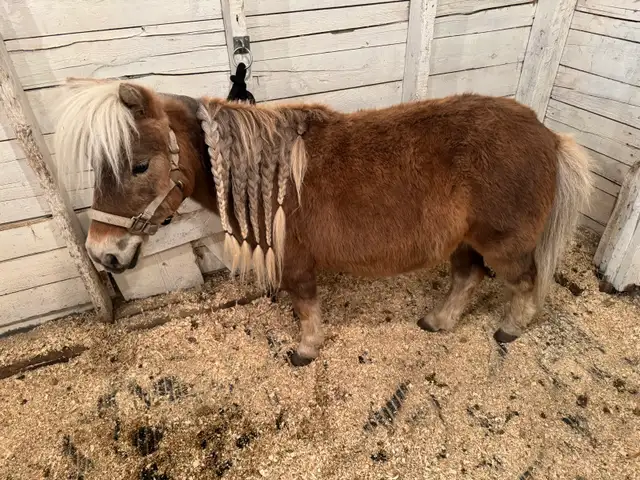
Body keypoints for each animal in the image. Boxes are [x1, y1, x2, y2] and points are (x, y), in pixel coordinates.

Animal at [54, 78, 592, 366]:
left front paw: (306, 350)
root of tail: (549, 137)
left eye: (140, 165)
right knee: (468, 277)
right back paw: (438, 321)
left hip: (504, 244)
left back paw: (510, 329)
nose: (103, 253)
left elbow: (306, 309)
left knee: (525, 281)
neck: (269, 178)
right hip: (463, 242)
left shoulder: (298, 263)